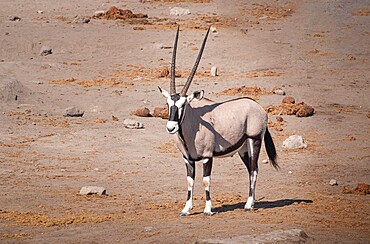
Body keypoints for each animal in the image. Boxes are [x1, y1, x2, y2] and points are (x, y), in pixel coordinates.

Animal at [158, 26, 278, 216]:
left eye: (183, 104)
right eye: (168, 103)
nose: (171, 127)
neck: (192, 124)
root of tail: (259, 108)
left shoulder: (207, 157)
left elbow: (206, 180)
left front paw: (208, 209)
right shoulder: (188, 159)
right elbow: (190, 181)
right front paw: (186, 209)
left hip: (255, 140)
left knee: (253, 170)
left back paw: (247, 204)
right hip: (243, 149)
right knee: (253, 169)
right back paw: (252, 203)